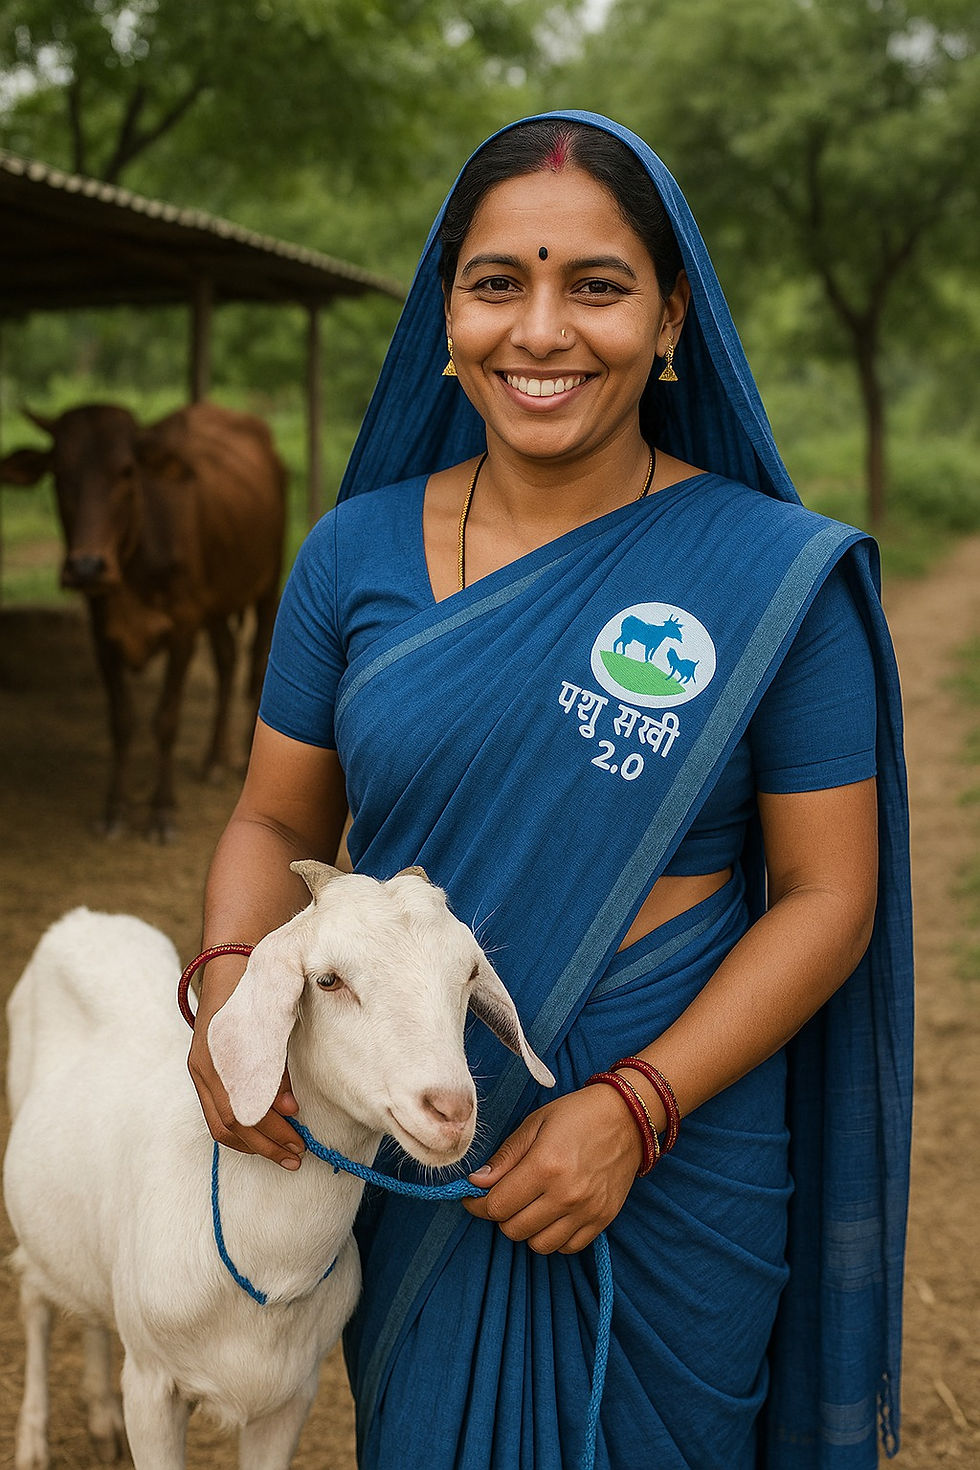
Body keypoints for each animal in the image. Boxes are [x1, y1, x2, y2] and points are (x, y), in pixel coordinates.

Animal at [3, 862, 554, 1469]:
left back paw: (101, 1420)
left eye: (470, 971)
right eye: (329, 981)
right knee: (33, 1293)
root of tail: (86, 917)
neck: (269, 1265)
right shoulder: (150, 1387)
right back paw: (33, 1441)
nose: (450, 1110)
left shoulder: (292, 1398)